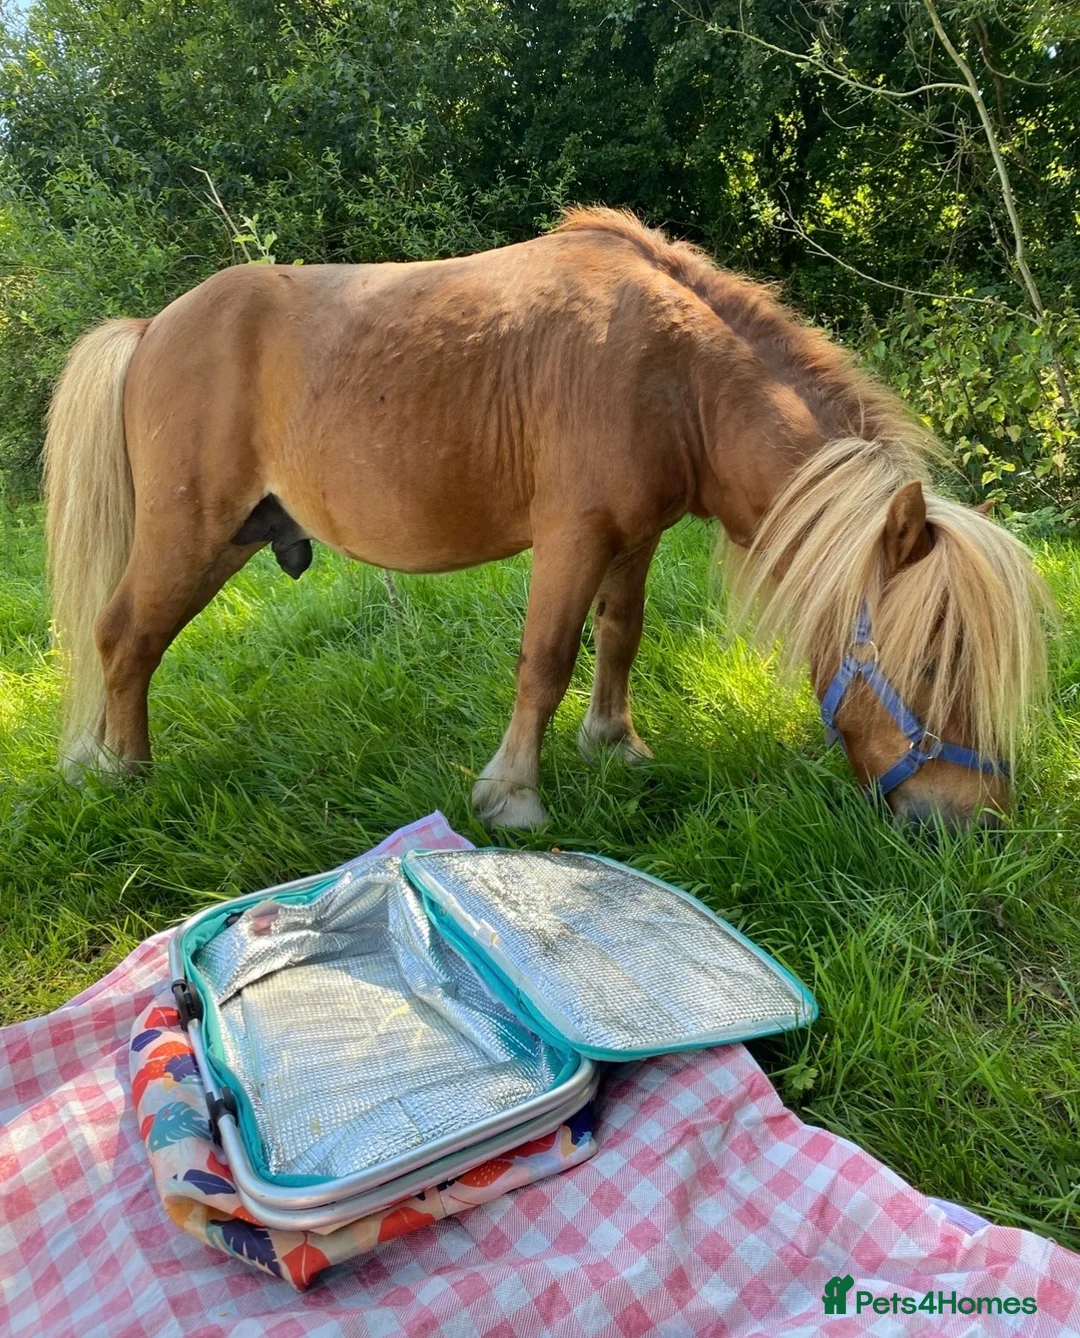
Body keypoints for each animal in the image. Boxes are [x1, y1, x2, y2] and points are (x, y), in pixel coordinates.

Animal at [43, 208, 1050, 830]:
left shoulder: (636, 537)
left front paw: (613, 743)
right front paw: (514, 794)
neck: (676, 375)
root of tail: (152, 327)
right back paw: (126, 775)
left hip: (231, 537)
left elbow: (619, 636)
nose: (969, 822)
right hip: (190, 535)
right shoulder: (574, 534)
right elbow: (547, 658)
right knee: (125, 636)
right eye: (935, 662)